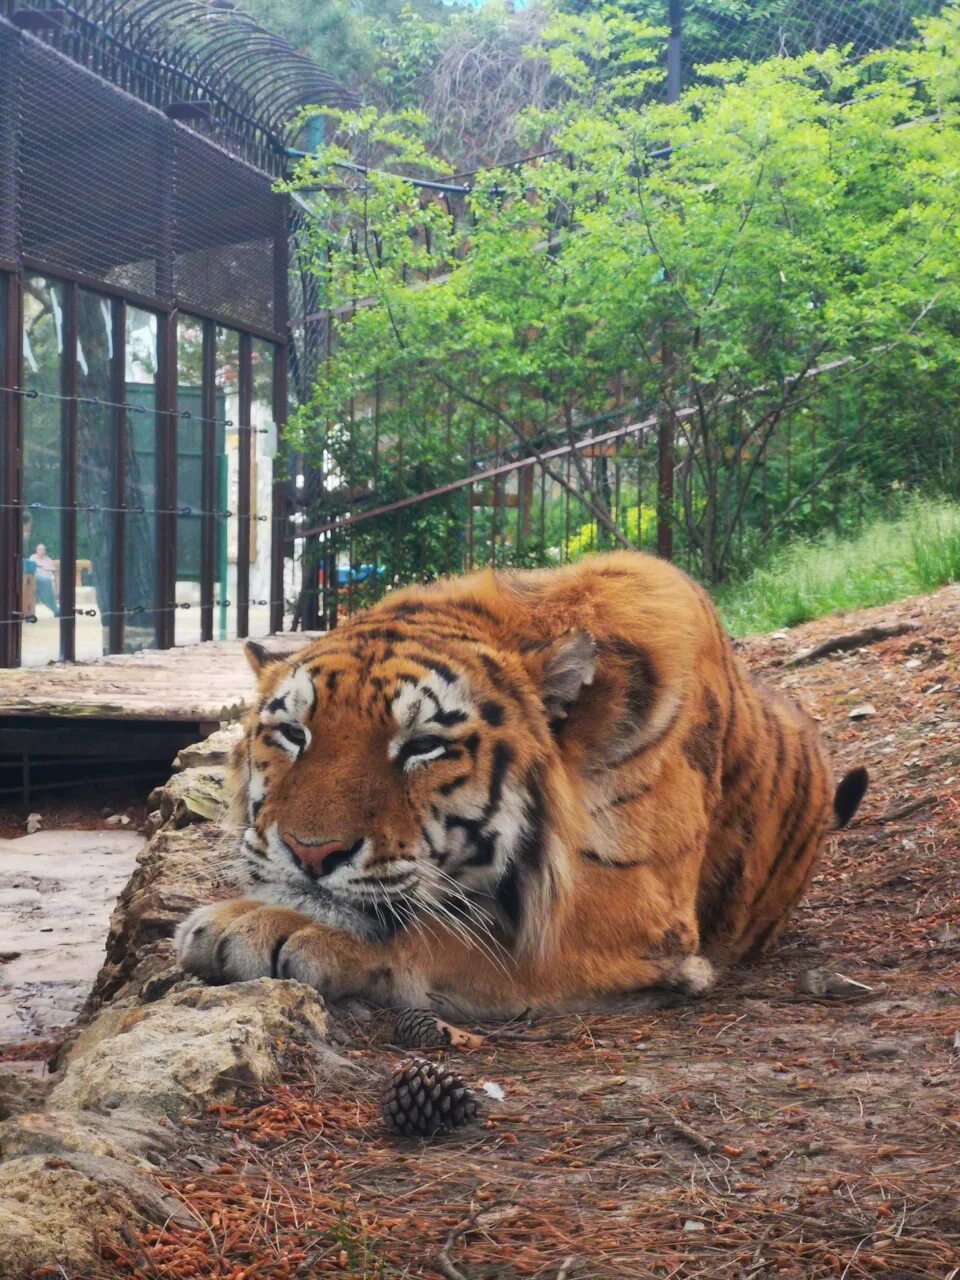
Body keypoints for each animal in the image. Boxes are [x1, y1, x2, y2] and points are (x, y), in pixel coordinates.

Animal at [176, 555, 870, 1013]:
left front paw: (254, 926)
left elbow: (445, 934)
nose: (311, 852)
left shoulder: (632, 909)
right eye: (293, 733)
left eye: (423, 746)